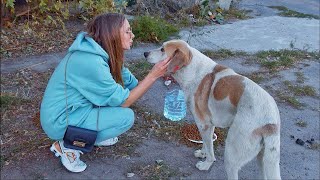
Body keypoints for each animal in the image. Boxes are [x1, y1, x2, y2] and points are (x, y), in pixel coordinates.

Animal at [144, 39, 282, 180]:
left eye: (162, 49)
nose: (145, 53)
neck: (191, 69)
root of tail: (270, 123)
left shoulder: (203, 124)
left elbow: (210, 150)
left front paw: (206, 164)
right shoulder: (209, 125)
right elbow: (206, 143)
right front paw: (202, 153)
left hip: (231, 154)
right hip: (263, 160)